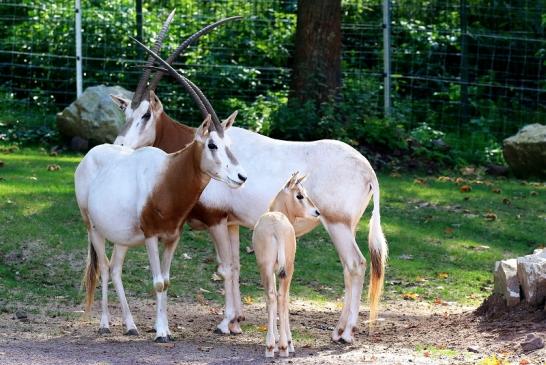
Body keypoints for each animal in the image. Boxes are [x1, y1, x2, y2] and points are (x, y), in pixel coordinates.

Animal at [254, 172, 318, 356]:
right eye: (300, 195)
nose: (317, 212)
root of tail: (276, 227)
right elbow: (281, 298)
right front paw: (285, 342)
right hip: (283, 268)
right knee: (279, 296)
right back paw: (281, 346)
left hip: (269, 268)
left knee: (274, 296)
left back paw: (275, 346)